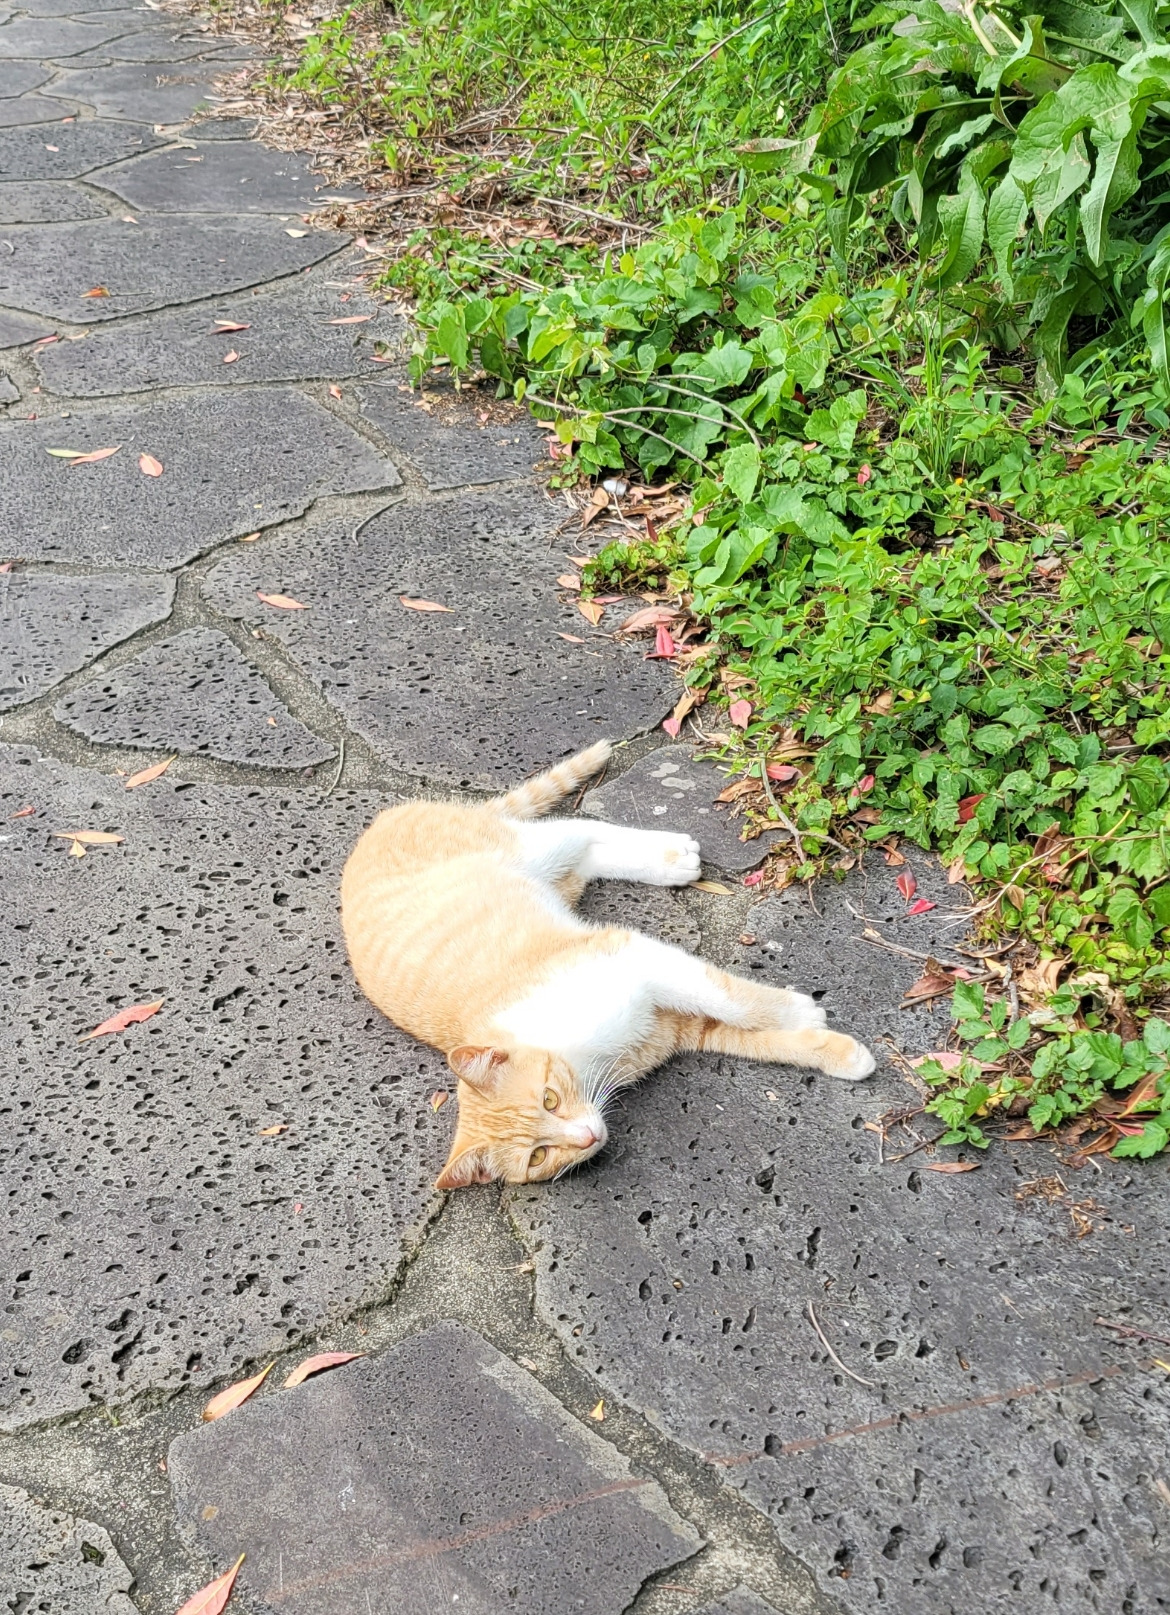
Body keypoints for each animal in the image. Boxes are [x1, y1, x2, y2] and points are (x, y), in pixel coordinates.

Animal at [341, 739, 876, 1189]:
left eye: (549, 1099)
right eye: (538, 1156)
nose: (586, 1138)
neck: (590, 1059)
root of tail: (372, 828)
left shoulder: (634, 956)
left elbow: (736, 1000)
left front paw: (796, 1010)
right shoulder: (677, 1026)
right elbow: (760, 1038)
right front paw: (840, 1053)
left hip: (530, 849)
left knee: (583, 826)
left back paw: (671, 853)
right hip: (559, 879)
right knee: (588, 855)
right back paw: (668, 862)